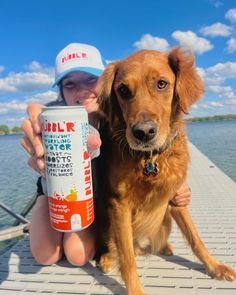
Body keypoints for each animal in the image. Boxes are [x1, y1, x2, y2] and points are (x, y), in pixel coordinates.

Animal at [94, 47, 236, 294]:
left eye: (162, 84)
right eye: (123, 90)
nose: (143, 132)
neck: (151, 159)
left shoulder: (176, 196)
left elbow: (195, 239)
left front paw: (215, 266)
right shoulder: (119, 204)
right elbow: (127, 259)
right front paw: (135, 290)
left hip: (166, 219)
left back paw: (165, 247)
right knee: (121, 249)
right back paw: (107, 259)